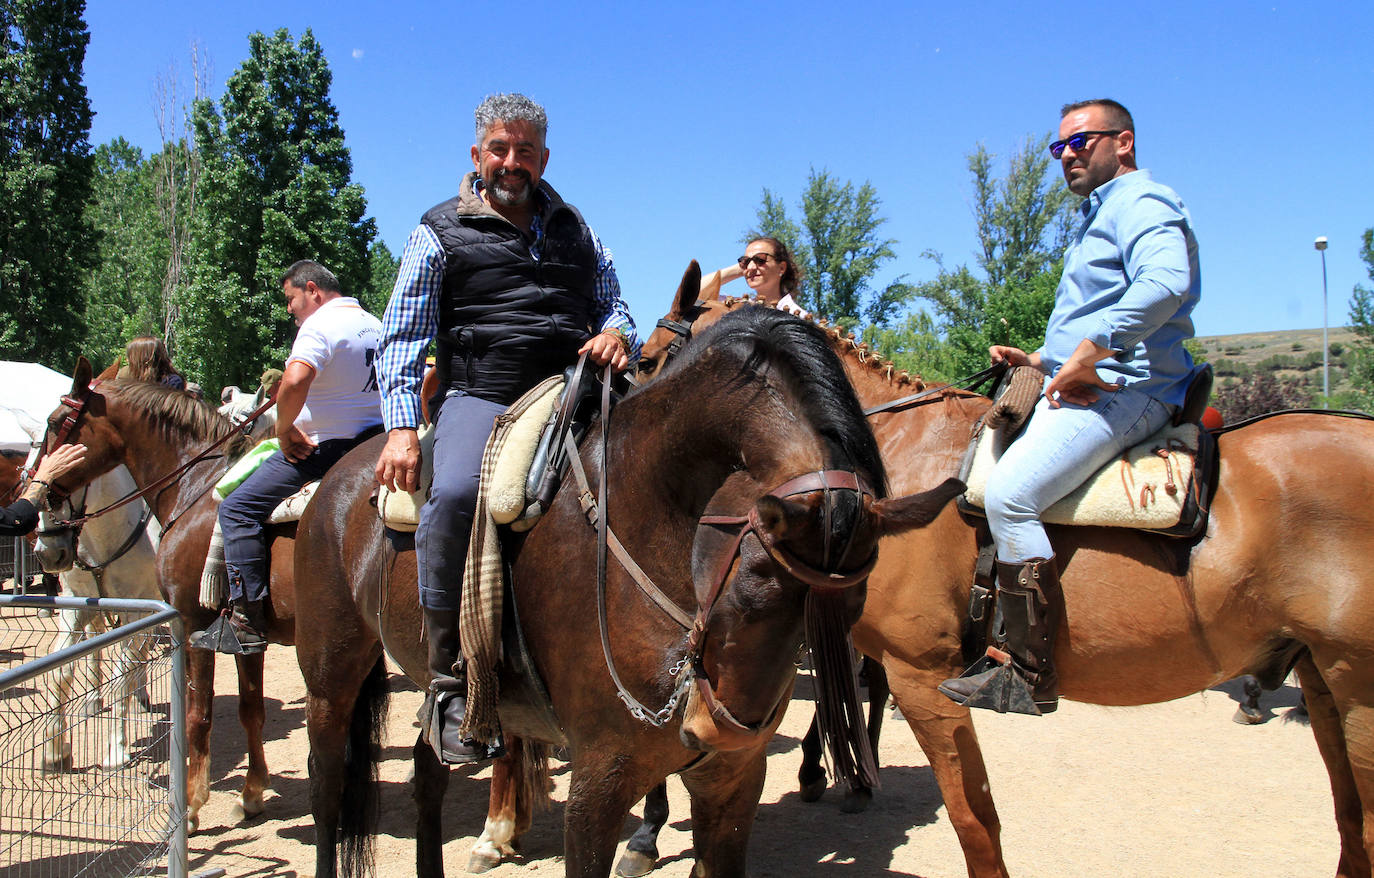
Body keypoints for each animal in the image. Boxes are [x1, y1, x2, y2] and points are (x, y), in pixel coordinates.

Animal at [39, 368, 295, 835]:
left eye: (55, 422)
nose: (38, 499)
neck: (199, 490)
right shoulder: (247, 635)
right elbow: (250, 709)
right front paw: (251, 795)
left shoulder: (195, 624)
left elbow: (197, 714)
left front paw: (191, 806)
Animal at [291, 303, 961, 878]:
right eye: (754, 581)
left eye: (854, 603)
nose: (718, 734)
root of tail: (339, 477)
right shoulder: (600, 781)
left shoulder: (731, 785)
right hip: (331, 678)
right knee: (327, 789)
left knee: (427, 779)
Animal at [640, 280, 1374, 878]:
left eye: (645, 361)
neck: (897, 456)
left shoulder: (921, 674)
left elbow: (976, 821)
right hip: (1324, 680)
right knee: (1351, 823)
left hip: (1355, 688)